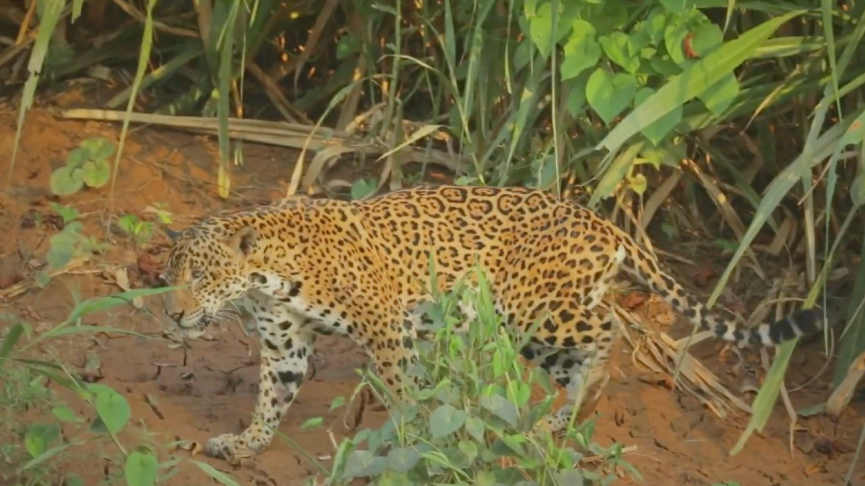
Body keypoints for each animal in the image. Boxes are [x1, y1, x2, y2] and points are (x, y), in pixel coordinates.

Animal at [158, 184, 822, 463]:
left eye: (202, 275)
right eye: (171, 274)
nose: (173, 313)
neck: (265, 279)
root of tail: (602, 222)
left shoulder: (386, 325)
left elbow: (403, 389)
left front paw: (412, 438)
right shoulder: (286, 346)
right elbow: (272, 398)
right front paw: (245, 443)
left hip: (535, 311)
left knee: (612, 331)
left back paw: (577, 406)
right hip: (535, 327)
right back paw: (557, 419)